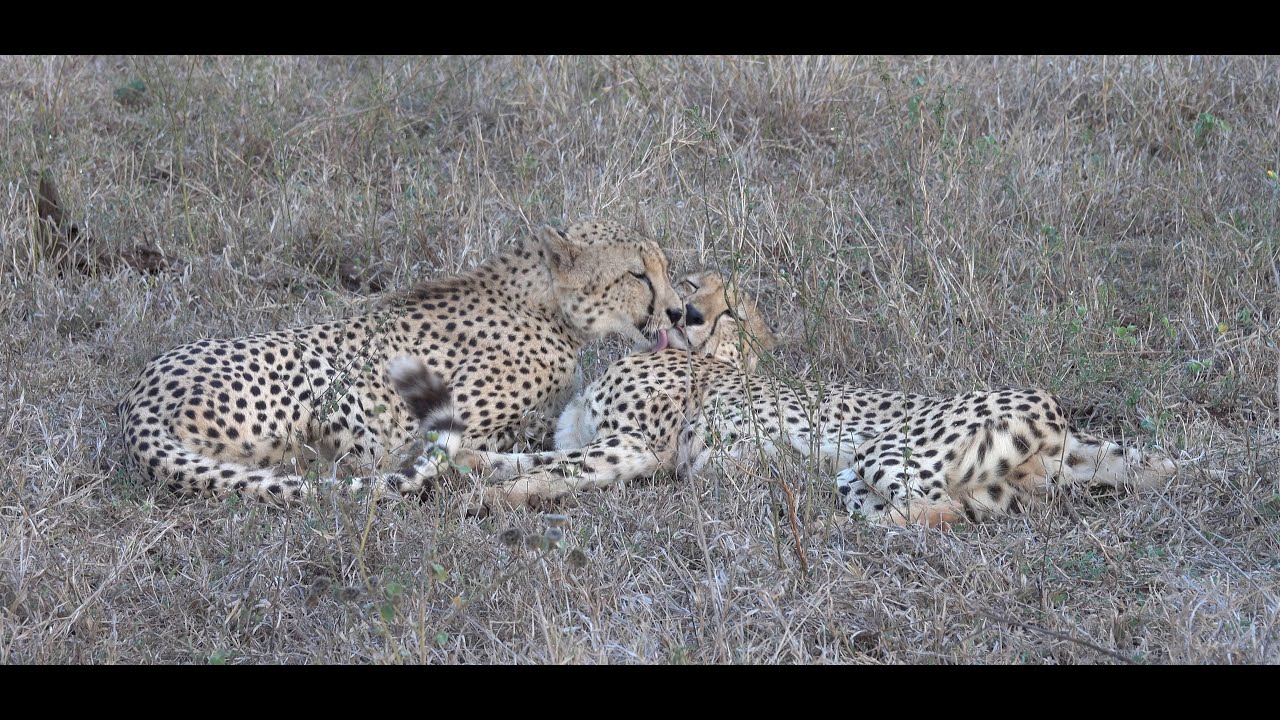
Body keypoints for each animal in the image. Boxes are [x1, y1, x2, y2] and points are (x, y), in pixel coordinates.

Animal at [116, 220, 685, 502]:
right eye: (637, 275)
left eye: (663, 267)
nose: (679, 311)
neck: (545, 304)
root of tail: (139, 397)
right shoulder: (438, 420)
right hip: (327, 370)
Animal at [390, 270, 1179, 527]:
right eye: (689, 286)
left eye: (730, 315)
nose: (690, 314)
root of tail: (1060, 420)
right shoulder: (605, 444)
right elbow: (515, 459)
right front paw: (456, 476)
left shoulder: (634, 447)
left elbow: (542, 471)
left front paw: (478, 500)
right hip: (872, 472)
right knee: (927, 510)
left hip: (887, 450)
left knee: (940, 513)